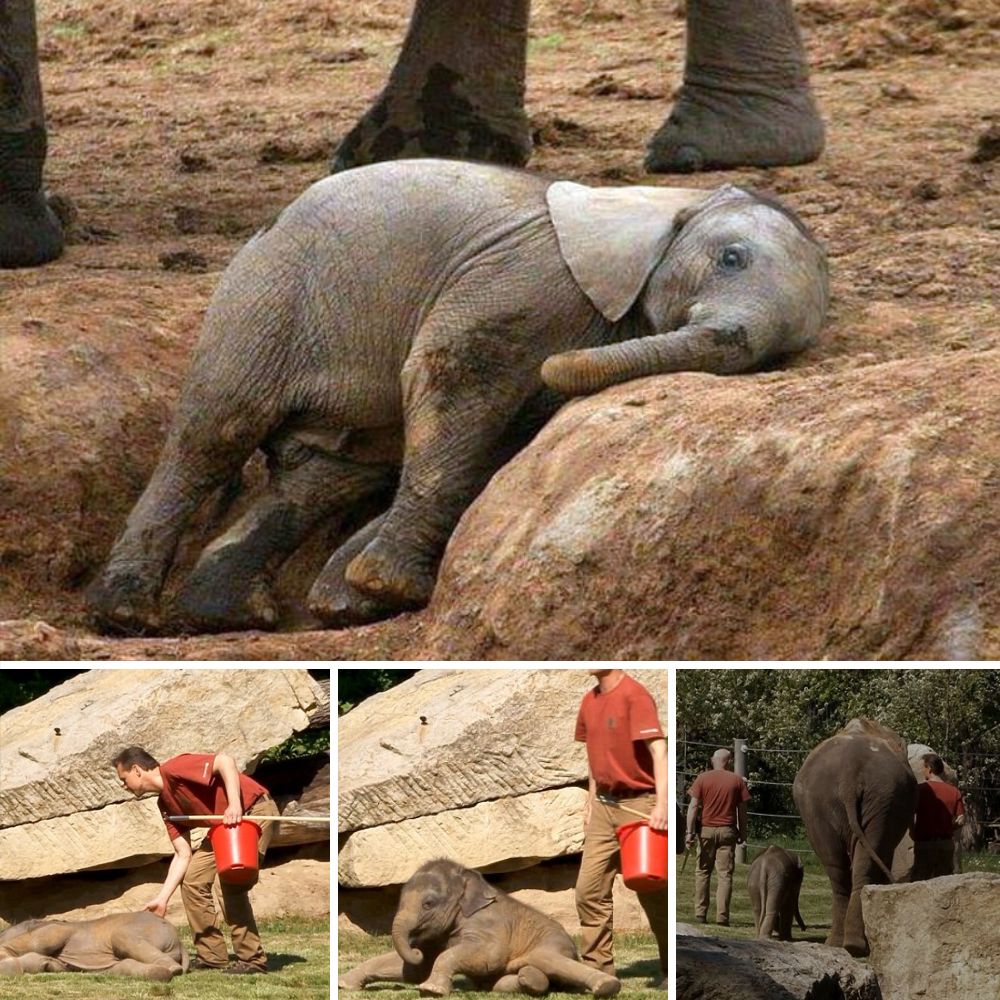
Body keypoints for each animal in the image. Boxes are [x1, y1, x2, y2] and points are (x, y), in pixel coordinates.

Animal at [0, 912, 189, 980]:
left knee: (122, 937)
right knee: (123, 966)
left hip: (148, 929)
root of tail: (180, 943)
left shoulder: (57, 929)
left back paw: (172, 970)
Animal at [88, 160, 828, 636]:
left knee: (324, 475)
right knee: (213, 435)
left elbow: (494, 445)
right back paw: (125, 615)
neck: (666, 202)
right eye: (730, 258)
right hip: (263, 300)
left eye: (791, 346)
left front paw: (351, 599)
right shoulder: (526, 279)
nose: (554, 370)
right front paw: (381, 591)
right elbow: (451, 377)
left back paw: (229, 616)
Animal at [338, 856, 616, 996]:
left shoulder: (489, 924)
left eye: (428, 903)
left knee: (548, 960)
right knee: (507, 982)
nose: (414, 947)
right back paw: (529, 980)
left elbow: (487, 956)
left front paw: (430, 990)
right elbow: (417, 969)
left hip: (554, 944)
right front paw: (343, 984)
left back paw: (606, 986)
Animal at [792, 720, 916, 960]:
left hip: (820, 806)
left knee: (836, 870)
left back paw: (841, 945)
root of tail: (849, 777)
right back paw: (855, 946)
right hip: (882, 799)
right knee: (864, 863)